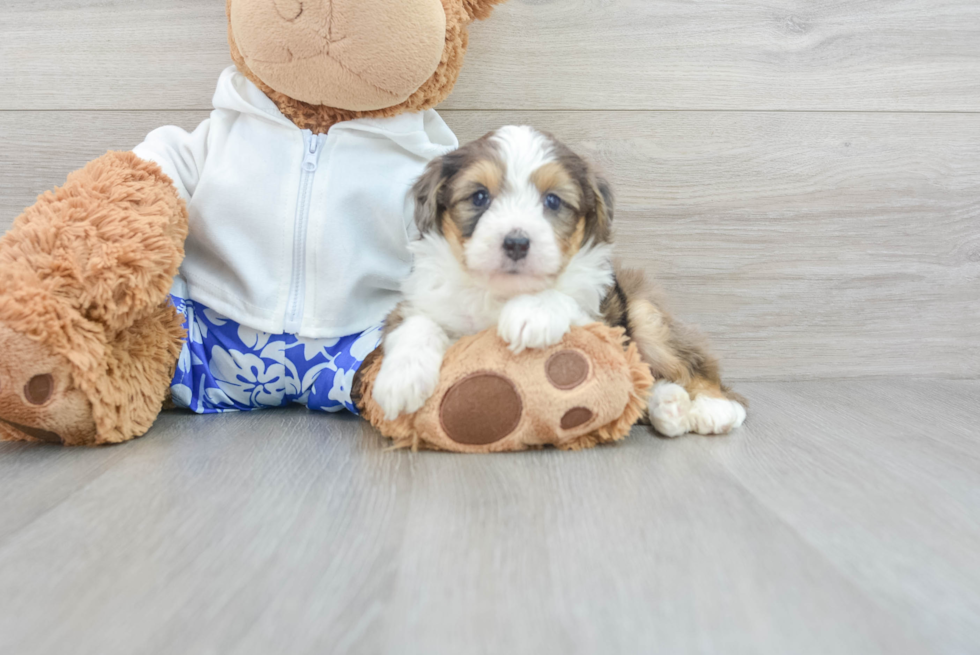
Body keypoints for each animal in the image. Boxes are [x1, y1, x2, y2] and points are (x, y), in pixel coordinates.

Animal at [372, 125, 748, 438]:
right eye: (479, 197)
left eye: (552, 201)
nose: (516, 242)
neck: (502, 293)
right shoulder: (416, 302)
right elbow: (417, 324)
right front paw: (401, 379)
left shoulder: (603, 326)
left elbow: (565, 300)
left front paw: (531, 314)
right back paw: (669, 404)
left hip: (644, 314)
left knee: (698, 369)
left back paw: (714, 408)